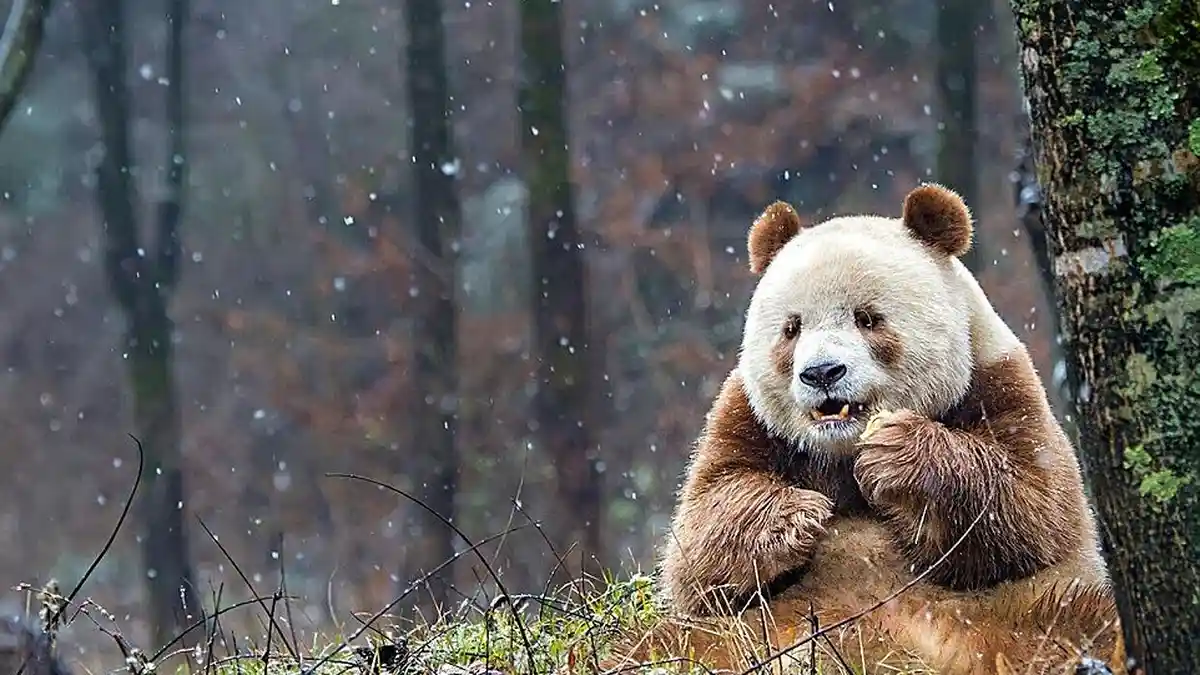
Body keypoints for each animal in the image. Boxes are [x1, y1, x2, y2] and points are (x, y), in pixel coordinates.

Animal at [602, 185, 1123, 674]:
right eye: (792, 328)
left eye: (868, 318)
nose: (821, 373)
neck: (841, 450)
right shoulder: (747, 417)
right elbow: (701, 541)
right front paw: (798, 516)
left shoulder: (997, 383)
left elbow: (1032, 509)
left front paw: (897, 454)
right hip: (736, 633)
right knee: (645, 647)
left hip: (1014, 612)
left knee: (1084, 620)